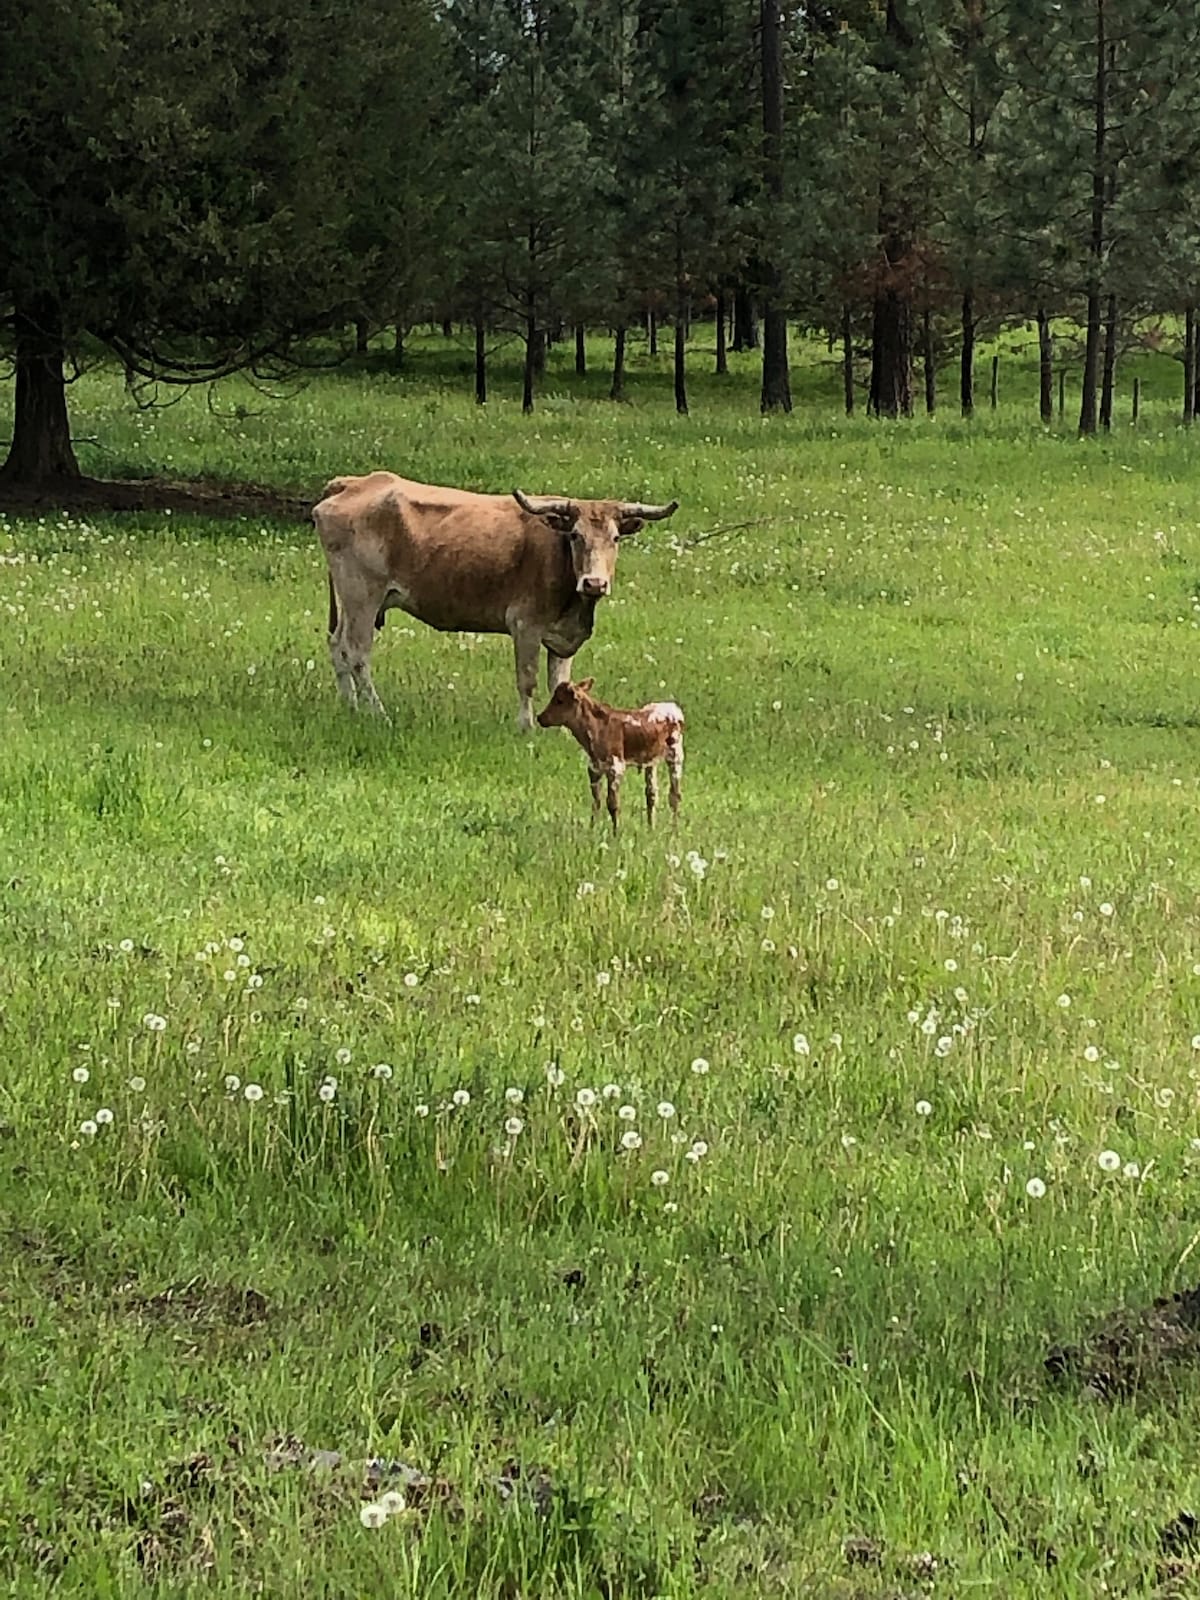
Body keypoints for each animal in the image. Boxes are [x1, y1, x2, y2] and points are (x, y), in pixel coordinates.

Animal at [315, 470, 681, 729]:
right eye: (576, 535)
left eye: (616, 538)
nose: (594, 583)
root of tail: (354, 483)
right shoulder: (525, 625)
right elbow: (527, 680)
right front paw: (526, 727)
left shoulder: (563, 638)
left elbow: (561, 684)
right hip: (363, 595)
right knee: (357, 653)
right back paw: (378, 713)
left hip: (351, 600)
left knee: (338, 646)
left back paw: (350, 707)